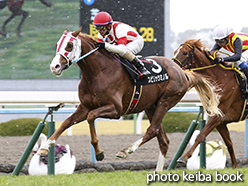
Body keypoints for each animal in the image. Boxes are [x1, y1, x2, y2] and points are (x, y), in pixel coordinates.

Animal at [37, 27, 222, 163]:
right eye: (57, 44)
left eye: (69, 45)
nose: (54, 67)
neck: (97, 73)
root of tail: (182, 71)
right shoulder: (84, 106)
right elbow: (66, 122)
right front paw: (45, 146)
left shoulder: (116, 110)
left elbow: (91, 117)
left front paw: (99, 152)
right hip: (151, 106)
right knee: (163, 140)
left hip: (166, 101)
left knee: (152, 130)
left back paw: (126, 151)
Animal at [172, 38, 244, 168]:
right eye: (175, 51)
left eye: (185, 53)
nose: (173, 66)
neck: (220, 79)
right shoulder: (220, 120)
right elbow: (229, 143)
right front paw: (235, 166)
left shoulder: (218, 116)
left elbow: (200, 136)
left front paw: (184, 157)